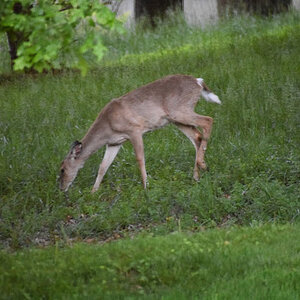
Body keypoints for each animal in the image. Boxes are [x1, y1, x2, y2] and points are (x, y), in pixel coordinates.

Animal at [59, 74, 220, 193]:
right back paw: (197, 175)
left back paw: (202, 165)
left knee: (208, 120)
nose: (61, 188)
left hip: (180, 110)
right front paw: (94, 192)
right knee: (197, 137)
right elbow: (103, 166)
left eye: (62, 169)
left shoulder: (135, 130)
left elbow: (140, 159)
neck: (108, 125)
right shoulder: (114, 142)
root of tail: (198, 82)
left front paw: (146, 187)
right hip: (176, 118)